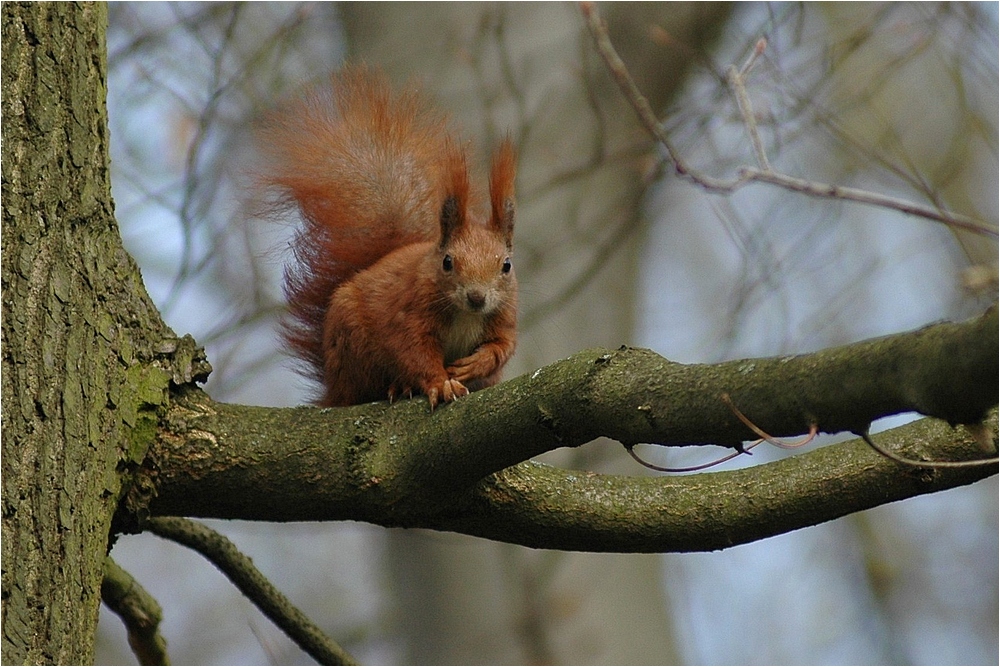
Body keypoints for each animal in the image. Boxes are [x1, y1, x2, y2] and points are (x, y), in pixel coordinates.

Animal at [258, 69, 520, 412]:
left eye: (506, 265)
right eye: (448, 262)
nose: (477, 298)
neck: (465, 314)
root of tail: (333, 389)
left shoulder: (504, 316)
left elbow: (502, 347)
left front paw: (475, 364)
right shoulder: (409, 313)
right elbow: (414, 352)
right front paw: (440, 384)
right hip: (353, 345)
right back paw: (400, 387)